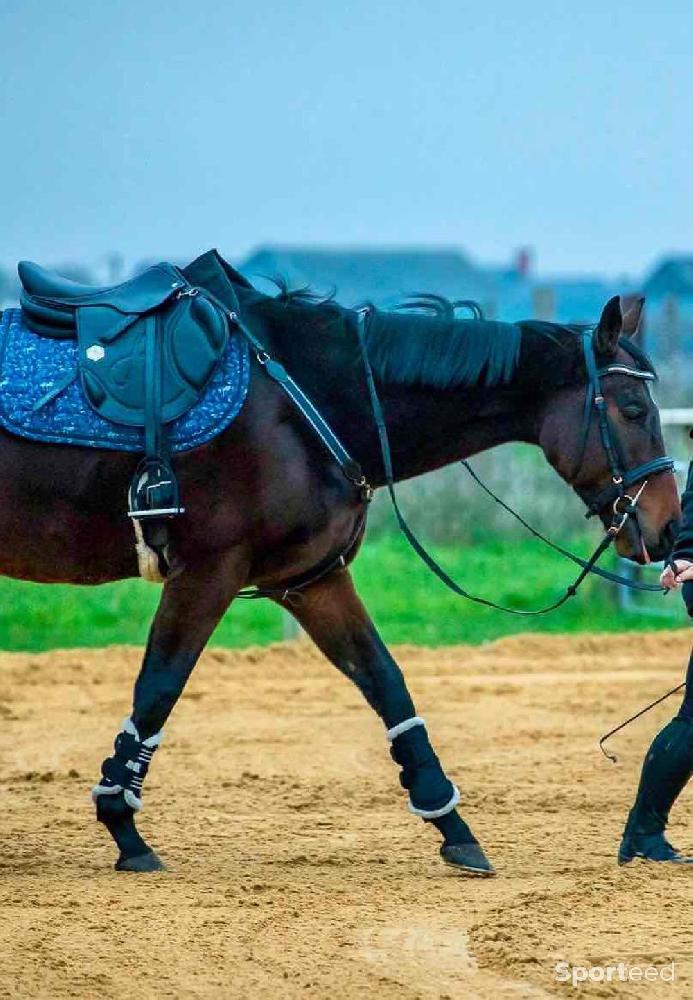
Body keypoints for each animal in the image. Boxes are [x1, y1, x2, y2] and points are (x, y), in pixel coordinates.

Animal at [0, 252, 680, 876]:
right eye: (633, 409)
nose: (669, 527)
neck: (301, 401)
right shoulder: (209, 572)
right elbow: (158, 687)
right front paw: (123, 825)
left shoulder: (311, 580)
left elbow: (387, 684)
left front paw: (452, 826)